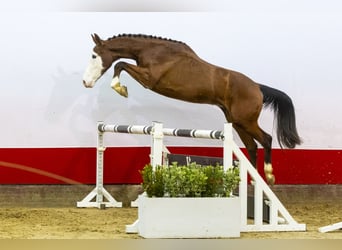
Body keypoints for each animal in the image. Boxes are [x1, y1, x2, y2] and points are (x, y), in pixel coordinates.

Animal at [81, 33, 300, 185]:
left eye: (94, 55)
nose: (85, 82)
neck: (152, 51)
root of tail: (257, 87)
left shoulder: (149, 79)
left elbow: (120, 64)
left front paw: (120, 89)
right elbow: (121, 64)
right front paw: (120, 88)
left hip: (245, 121)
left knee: (266, 139)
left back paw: (269, 176)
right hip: (236, 122)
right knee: (253, 147)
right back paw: (254, 181)